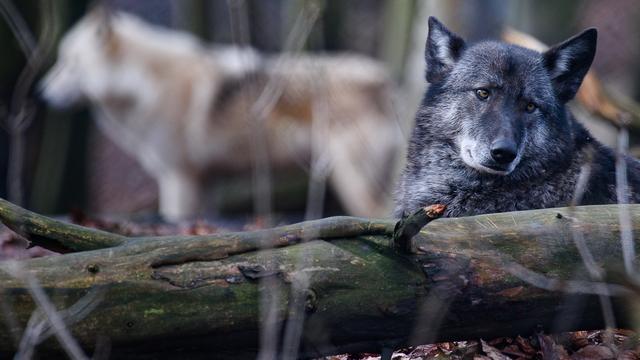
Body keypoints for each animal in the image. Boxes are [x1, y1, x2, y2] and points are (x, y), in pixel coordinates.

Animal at [40, 8, 400, 221]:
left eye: (69, 64)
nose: (40, 93)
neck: (144, 85)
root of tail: (382, 79)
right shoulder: (206, 181)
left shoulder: (178, 179)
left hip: (354, 181)